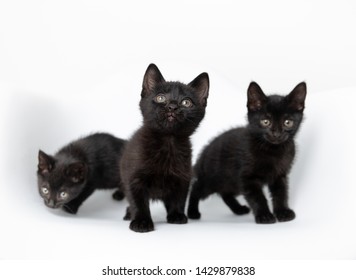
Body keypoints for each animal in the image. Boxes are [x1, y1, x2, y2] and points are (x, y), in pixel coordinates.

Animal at [120, 63, 209, 232]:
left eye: (186, 102)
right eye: (160, 98)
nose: (172, 107)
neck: (168, 141)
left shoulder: (183, 176)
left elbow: (179, 198)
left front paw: (176, 215)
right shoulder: (134, 178)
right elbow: (138, 201)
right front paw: (141, 221)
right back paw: (129, 214)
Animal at [188, 81, 308, 223]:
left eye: (288, 122)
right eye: (265, 121)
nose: (276, 134)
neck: (272, 150)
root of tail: (205, 152)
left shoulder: (280, 175)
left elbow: (281, 193)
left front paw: (282, 212)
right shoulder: (247, 178)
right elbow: (257, 197)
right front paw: (264, 215)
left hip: (231, 182)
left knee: (225, 194)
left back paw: (238, 209)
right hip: (213, 179)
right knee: (196, 188)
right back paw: (192, 212)